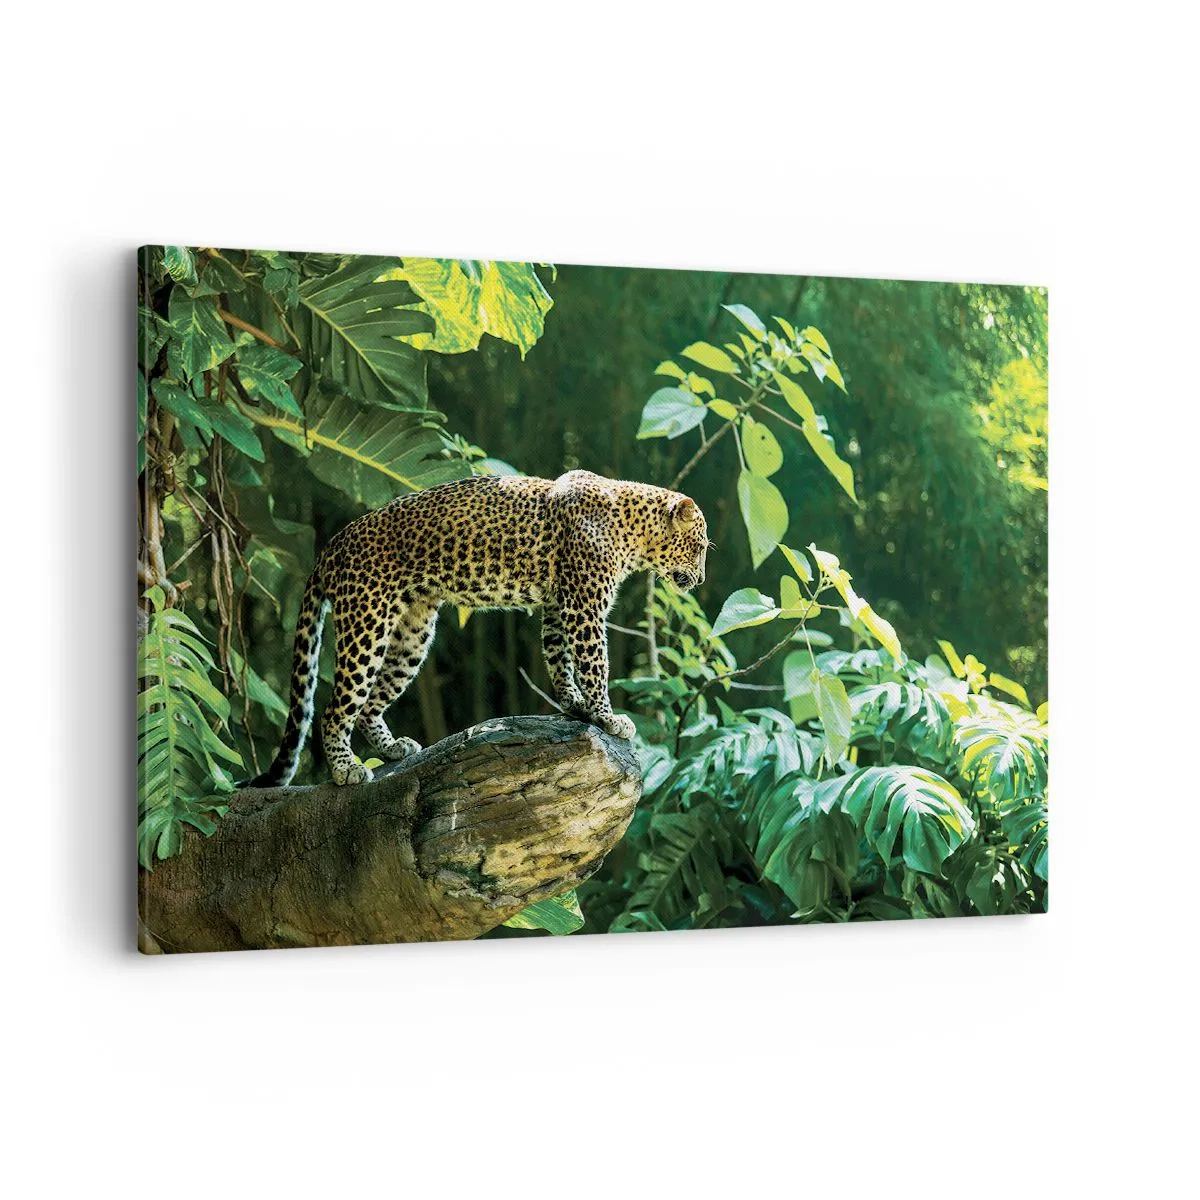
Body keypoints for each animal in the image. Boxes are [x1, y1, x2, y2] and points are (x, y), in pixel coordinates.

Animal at [248, 469, 709, 788]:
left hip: (412, 634)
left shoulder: (558, 607)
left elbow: (559, 659)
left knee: (369, 705)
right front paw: (608, 717)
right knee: (335, 707)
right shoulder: (584, 608)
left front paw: (576, 707)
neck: (633, 528)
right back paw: (346, 769)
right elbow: (595, 664)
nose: (702, 579)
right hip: (367, 623)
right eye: (700, 547)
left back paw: (393, 748)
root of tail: (333, 544)